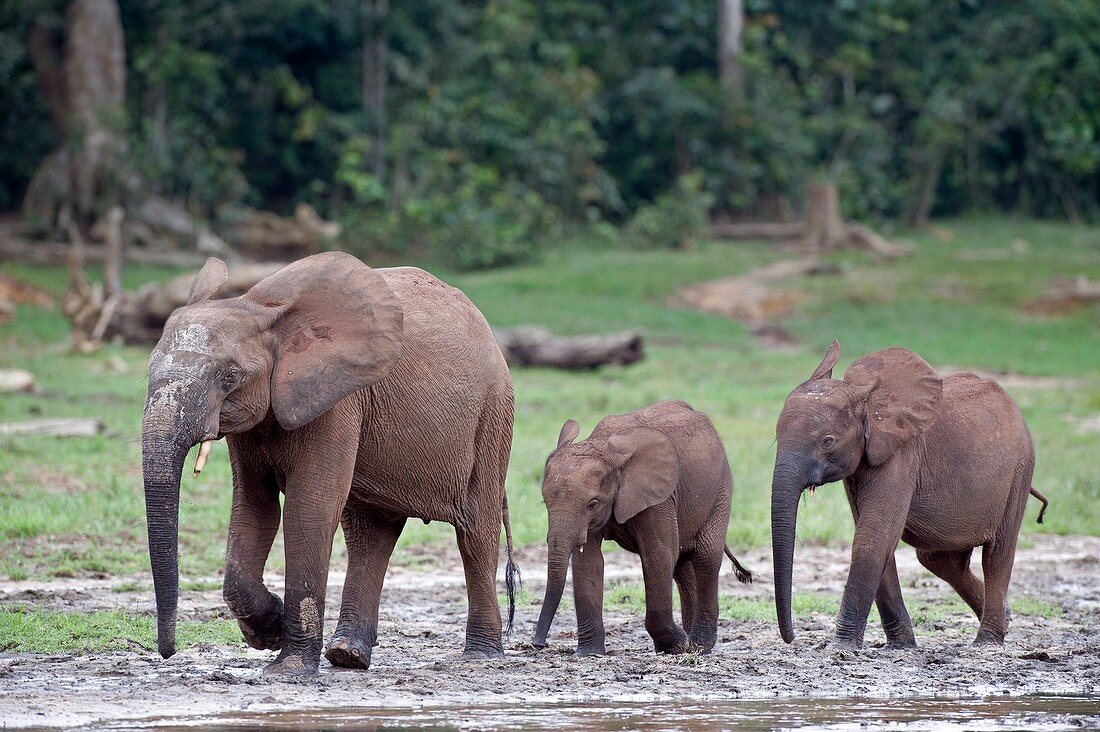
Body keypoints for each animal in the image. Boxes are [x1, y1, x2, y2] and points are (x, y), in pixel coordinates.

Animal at [141, 250, 514, 673]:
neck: (261, 311)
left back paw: (480, 656)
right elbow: (255, 506)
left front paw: (287, 669)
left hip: (492, 415)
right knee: (369, 534)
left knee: (476, 531)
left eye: (229, 376)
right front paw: (269, 631)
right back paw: (347, 655)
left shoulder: (336, 398)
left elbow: (309, 508)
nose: (168, 652)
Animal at [528, 402, 752, 651]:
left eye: (592, 504)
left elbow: (658, 553)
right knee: (682, 566)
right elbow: (588, 560)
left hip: (720, 490)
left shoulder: (658, 497)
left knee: (706, 557)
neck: (607, 450)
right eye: (545, 502)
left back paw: (698, 646)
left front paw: (678, 644)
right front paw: (588, 653)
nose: (538, 644)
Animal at [774, 339, 1047, 647]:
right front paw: (901, 645)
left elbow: (873, 536)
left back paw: (987, 641)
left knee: (996, 555)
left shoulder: (902, 453)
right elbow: (879, 538)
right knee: (939, 559)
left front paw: (841, 646)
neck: (868, 400)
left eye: (827, 441)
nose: (792, 638)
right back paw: (1008, 617)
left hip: (1020, 469)